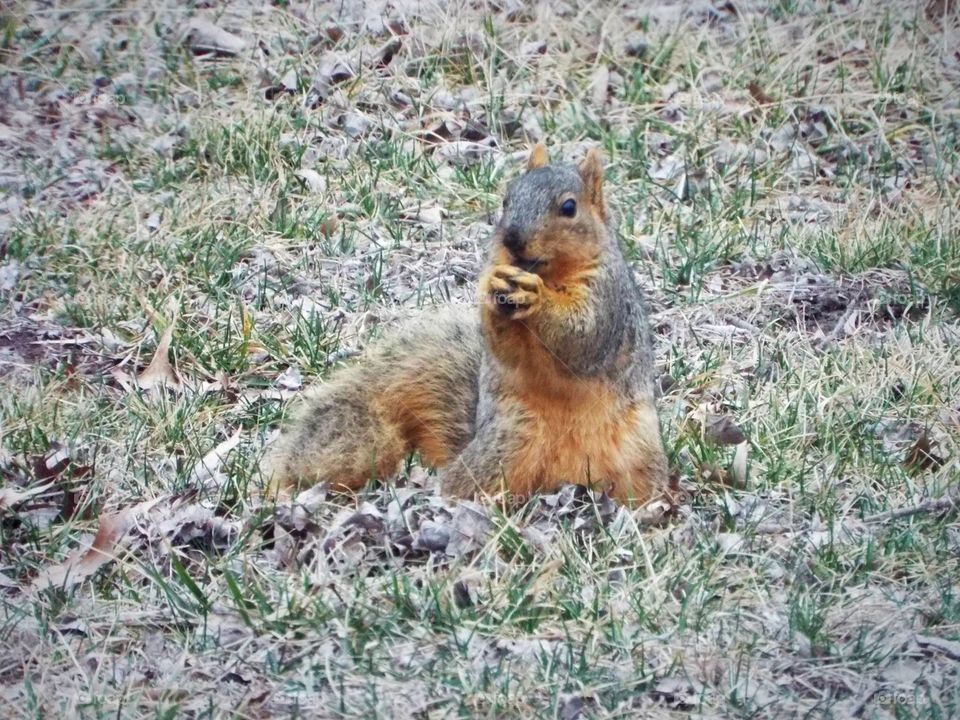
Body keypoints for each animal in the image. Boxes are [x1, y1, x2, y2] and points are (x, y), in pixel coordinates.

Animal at [262, 144, 668, 506]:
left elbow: (583, 333)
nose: (512, 238)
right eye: (506, 199)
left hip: (636, 453)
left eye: (569, 207)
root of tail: (562, 478)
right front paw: (492, 290)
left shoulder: (608, 298)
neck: (549, 274)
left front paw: (537, 298)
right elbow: (504, 344)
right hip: (504, 445)